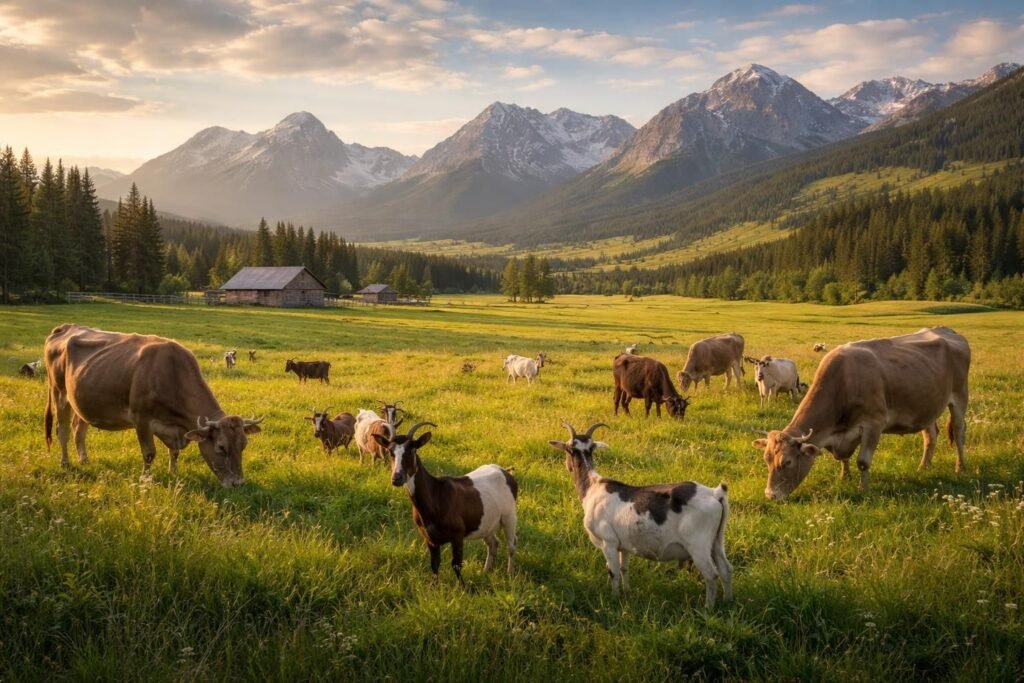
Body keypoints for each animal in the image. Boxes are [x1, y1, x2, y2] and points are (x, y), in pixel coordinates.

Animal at [43, 324, 262, 486]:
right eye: (221, 447)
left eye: (243, 445)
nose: (238, 484)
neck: (171, 374)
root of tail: (66, 327)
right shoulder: (141, 419)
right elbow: (149, 453)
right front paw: (145, 479)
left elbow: (174, 452)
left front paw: (173, 472)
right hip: (59, 392)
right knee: (62, 430)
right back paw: (65, 462)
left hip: (82, 400)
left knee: (78, 430)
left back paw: (84, 460)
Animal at [373, 421, 518, 585]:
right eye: (390, 452)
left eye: (411, 450)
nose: (396, 478)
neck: (436, 496)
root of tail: (506, 472)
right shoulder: (429, 538)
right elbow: (434, 564)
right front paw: (434, 587)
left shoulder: (458, 535)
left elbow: (456, 564)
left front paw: (463, 588)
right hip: (486, 523)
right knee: (493, 543)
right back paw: (485, 571)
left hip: (509, 516)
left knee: (511, 545)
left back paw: (510, 574)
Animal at [547, 422, 732, 608]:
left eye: (569, 449)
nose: (568, 466)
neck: (592, 487)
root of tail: (715, 494)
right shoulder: (624, 545)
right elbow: (624, 568)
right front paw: (627, 591)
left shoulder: (608, 541)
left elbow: (613, 571)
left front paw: (614, 598)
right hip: (716, 541)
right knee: (726, 569)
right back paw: (726, 601)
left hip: (698, 545)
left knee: (711, 575)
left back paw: (708, 607)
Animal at [753, 327, 970, 500]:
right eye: (766, 460)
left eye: (787, 462)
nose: (770, 495)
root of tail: (947, 330)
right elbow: (843, 458)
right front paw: (844, 477)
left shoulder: (874, 423)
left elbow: (863, 462)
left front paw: (863, 489)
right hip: (926, 405)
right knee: (930, 435)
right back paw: (923, 466)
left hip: (960, 396)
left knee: (959, 432)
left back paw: (960, 467)